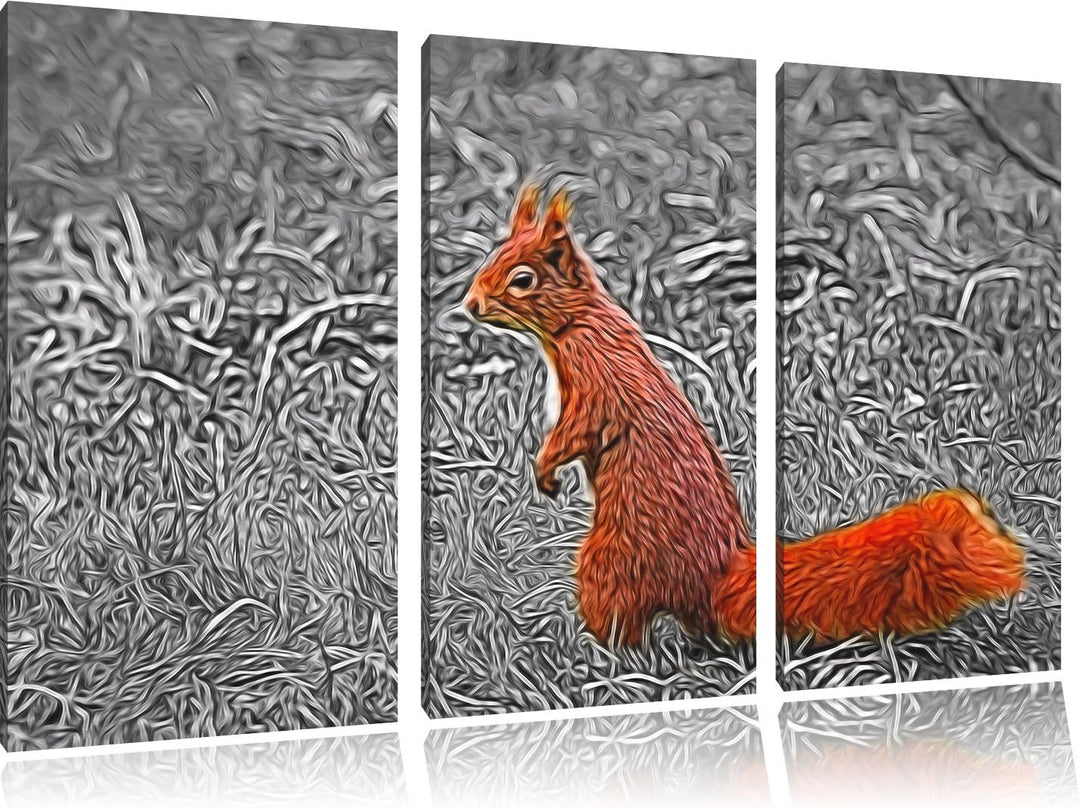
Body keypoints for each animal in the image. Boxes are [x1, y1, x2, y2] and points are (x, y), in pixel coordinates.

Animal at [463, 184, 1025, 646]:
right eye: (492, 255)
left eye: (523, 279)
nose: (470, 305)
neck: (580, 323)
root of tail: (713, 575)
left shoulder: (596, 388)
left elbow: (575, 432)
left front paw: (545, 472)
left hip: (611, 564)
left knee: (625, 626)